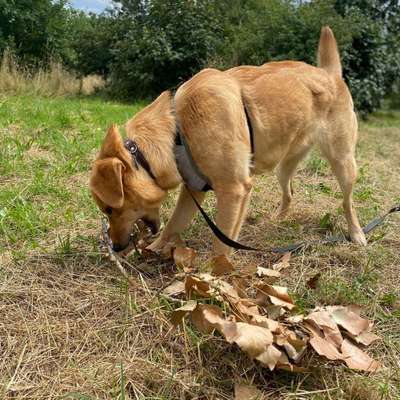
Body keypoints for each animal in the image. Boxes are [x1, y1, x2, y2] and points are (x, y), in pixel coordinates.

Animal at [89, 25, 368, 256]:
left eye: (109, 209)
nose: (116, 247)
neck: (178, 131)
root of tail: (329, 74)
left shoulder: (233, 190)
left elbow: (221, 245)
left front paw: (214, 277)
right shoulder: (194, 191)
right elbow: (173, 225)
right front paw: (154, 249)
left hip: (343, 162)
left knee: (348, 202)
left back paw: (357, 234)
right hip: (284, 166)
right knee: (289, 192)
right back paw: (277, 219)